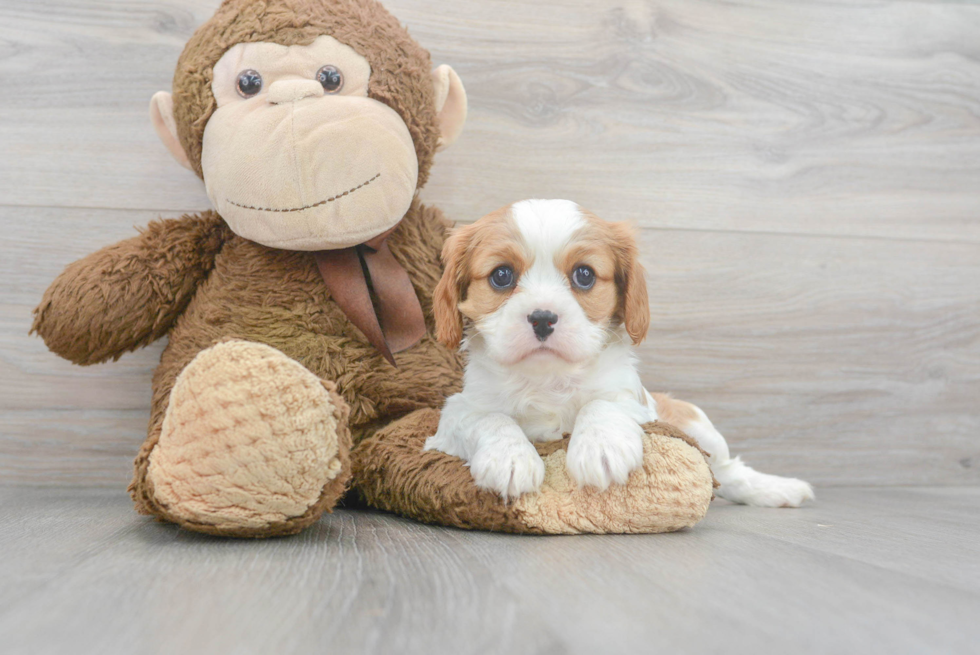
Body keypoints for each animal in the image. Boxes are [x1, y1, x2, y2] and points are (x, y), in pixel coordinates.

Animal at [424, 200, 816, 508]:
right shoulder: (456, 413)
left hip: (697, 423)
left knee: (726, 471)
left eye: (584, 275)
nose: (543, 318)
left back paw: (776, 490)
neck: (549, 379)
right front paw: (510, 458)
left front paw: (601, 448)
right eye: (502, 275)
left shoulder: (633, 399)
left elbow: (602, 404)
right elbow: (490, 418)